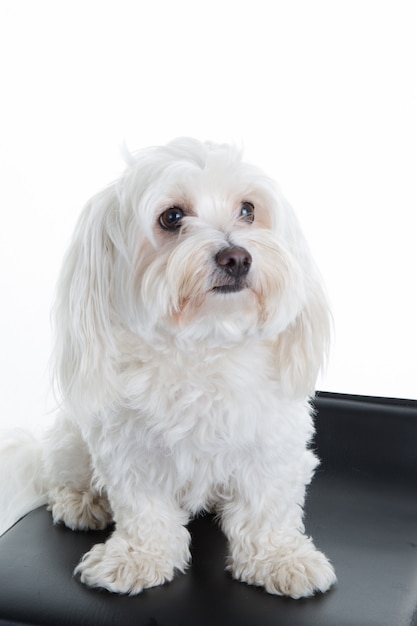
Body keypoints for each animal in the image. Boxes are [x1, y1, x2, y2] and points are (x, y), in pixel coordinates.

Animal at [0, 136, 334, 596]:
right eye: (172, 217)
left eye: (248, 209)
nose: (236, 257)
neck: (203, 344)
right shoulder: (129, 451)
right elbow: (145, 511)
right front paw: (137, 558)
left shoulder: (273, 444)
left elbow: (267, 506)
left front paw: (279, 558)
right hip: (72, 438)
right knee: (59, 476)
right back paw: (81, 501)